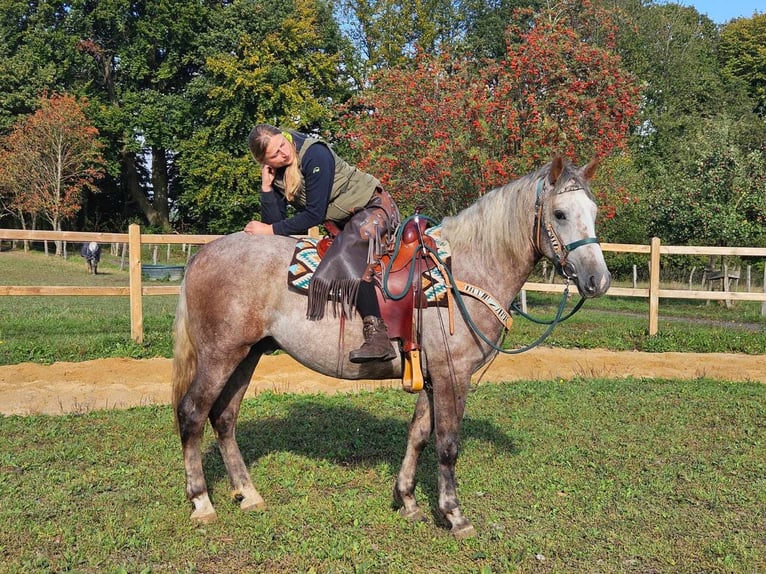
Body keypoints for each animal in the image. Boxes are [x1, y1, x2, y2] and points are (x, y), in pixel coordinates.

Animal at [172, 156, 612, 540]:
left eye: (593, 211)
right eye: (560, 214)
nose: (598, 280)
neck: (462, 271)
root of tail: (202, 254)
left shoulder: (432, 376)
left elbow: (418, 435)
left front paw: (408, 501)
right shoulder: (454, 374)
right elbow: (447, 444)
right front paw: (454, 515)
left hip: (248, 354)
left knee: (224, 418)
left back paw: (248, 495)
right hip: (220, 354)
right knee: (193, 414)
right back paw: (202, 501)